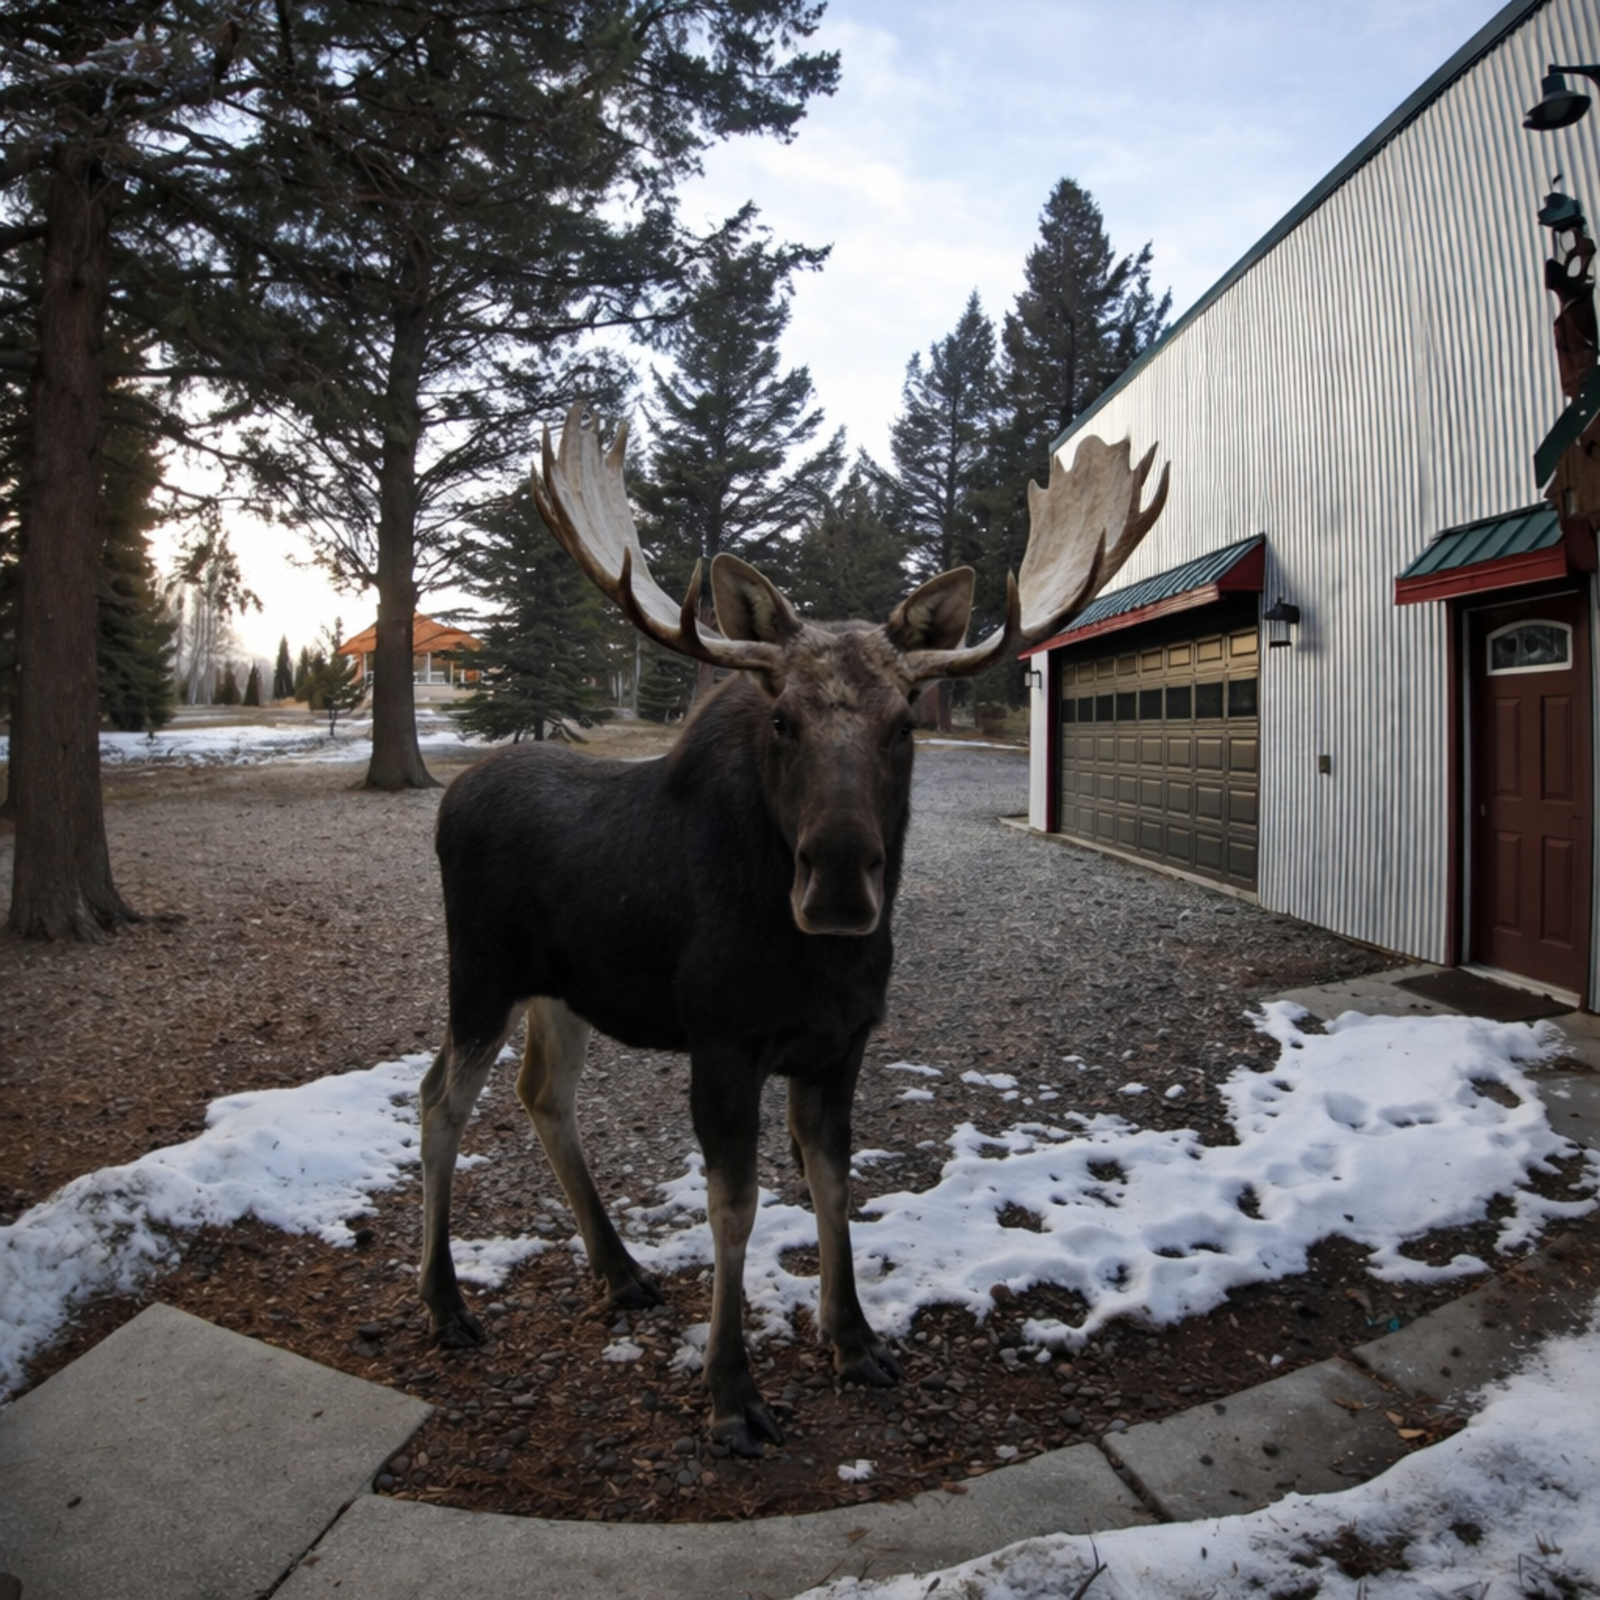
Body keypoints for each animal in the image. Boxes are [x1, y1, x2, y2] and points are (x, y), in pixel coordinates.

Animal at [418, 405, 1168, 1456]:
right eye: (781, 719)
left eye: (905, 723)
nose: (841, 884)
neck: (816, 968)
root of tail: (450, 801)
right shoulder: (722, 1041)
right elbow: (735, 1209)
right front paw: (731, 1393)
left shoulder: (842, 1045)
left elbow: (832, 1184)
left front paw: (853, 1340)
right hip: (480, 974)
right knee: (438, 1102)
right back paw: (446, 1305)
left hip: (559, 991)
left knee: (541, 1094)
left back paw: (621, 1271)